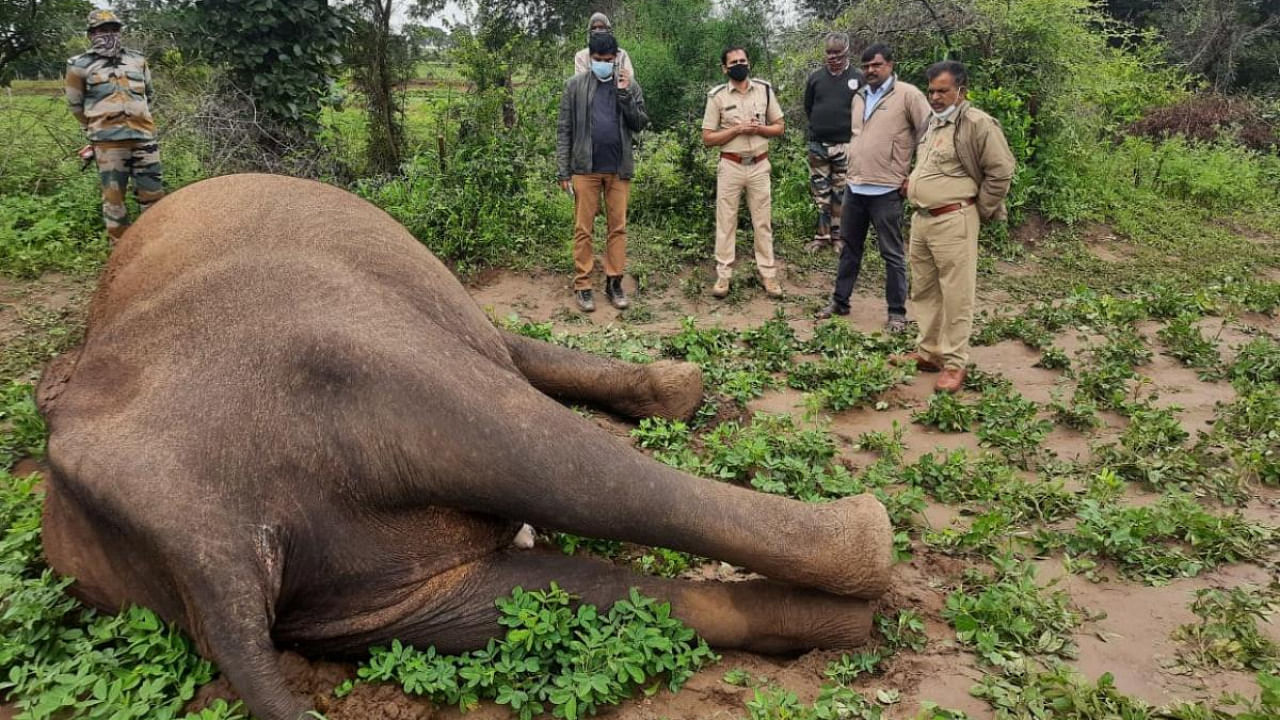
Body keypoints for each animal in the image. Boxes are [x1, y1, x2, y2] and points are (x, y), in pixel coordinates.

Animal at [37, 170, 890, 712]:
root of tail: (200, 542)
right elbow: (518, 359)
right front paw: (682, 385)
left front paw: (676, 389)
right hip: (336, 348)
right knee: (558, 460)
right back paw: (867, 542)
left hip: (338, 592)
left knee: (522, 596)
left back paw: (838, 629)